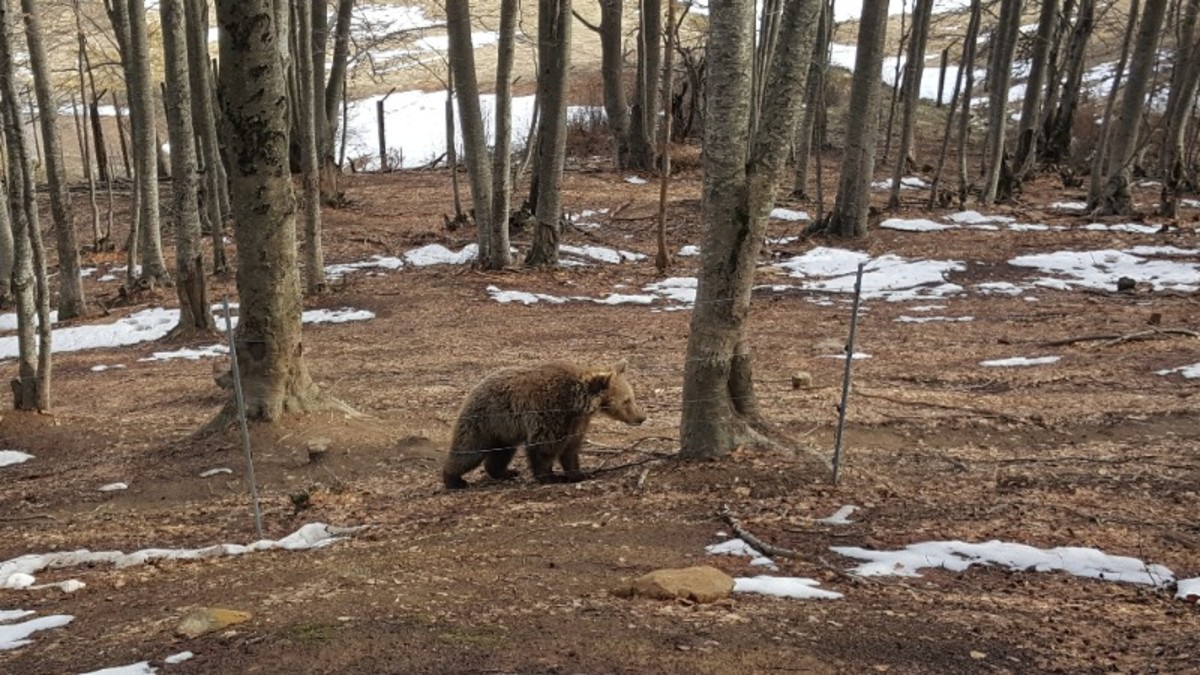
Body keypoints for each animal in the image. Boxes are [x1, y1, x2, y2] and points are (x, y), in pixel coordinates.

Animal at [444, 360, 648, 485]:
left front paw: (578, 473)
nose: (641, 417)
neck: (577, 403)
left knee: (501, 453)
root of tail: (473, 389)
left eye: (632, 397)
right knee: (469, 450)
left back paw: (506, 472)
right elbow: (544, 448)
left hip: (503, 431)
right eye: (627, 400)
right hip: (485, 420)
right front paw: (550, 477)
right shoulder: (549, 412)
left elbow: (571, 449)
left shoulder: (576, 423)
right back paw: (454, 480)